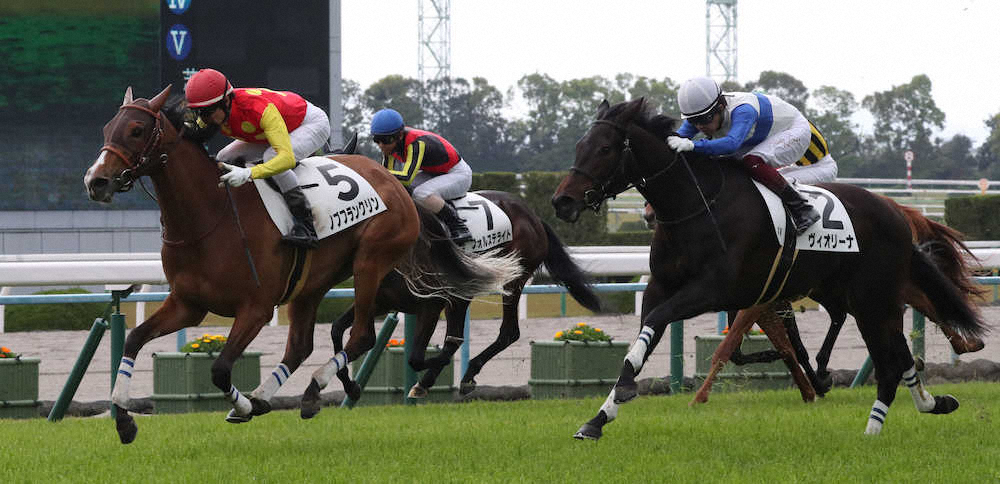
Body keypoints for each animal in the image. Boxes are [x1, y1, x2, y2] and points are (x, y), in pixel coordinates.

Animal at [86, 87, 520, 442]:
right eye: (107, 127)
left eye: (136, 130)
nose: (96, 181)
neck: (209, 216)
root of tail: (394, 181)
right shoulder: (187, 304)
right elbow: (133, 340)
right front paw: (123, 418)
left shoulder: (256, 308)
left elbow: (220, 369)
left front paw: (243, 405)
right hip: (313, 284)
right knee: (301, 345)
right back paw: (279, 395)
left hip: (371, 263)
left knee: (362, 335)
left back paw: (312, 390)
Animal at [332, 189, 604, 400]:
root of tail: (533, 216)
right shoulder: (379, 301)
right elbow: (338, 329)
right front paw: (350, 385)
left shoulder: (431, 305)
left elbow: (419, 357)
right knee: (459, 337)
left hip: (511, 280)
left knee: (506, 332)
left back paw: (460, 374)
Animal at [552, 97, 988, 438]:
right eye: (579, 145)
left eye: (605, 148)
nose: (562, 201)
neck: (696, 204)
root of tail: (896, 212)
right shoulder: (663, 286)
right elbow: (642, 340)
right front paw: (598, 418)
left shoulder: (713, 290)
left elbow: (662, 325)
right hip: (857, 296)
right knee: (898, 356)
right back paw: (930, 403)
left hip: (873, 298)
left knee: (890, 362)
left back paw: (871, 430)